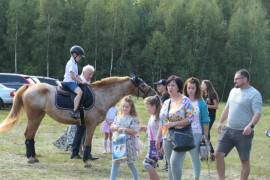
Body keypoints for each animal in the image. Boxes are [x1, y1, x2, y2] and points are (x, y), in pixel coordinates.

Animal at [0, 74, 156, 167]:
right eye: (142, 85)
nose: (154, 94)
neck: (101, 95)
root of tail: (30, 86)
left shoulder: (85, 125)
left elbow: (84, 143)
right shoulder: (91, 125)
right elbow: (87, 144)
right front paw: (86, 162)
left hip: (38, 116)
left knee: (30, 136)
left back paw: (33, 157)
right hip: (34, 116)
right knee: (28, 135)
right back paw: (30, 158)